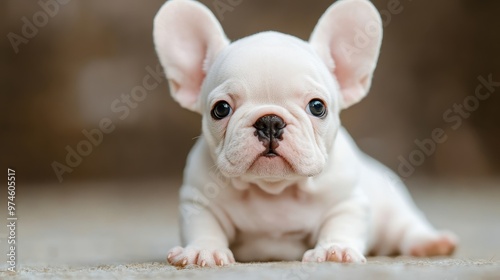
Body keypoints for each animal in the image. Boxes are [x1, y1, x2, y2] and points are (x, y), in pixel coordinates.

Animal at [152, 0, 458, 266]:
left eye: (317, 106)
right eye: (221, 109)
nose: (270, 121)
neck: (275, 190)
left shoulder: (347, 202)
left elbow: (341, 222)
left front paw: (336, 249)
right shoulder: (198, 201)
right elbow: (204, 226)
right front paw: (202, 250)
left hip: (394, 210)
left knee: (407, 228)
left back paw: (431, 243)